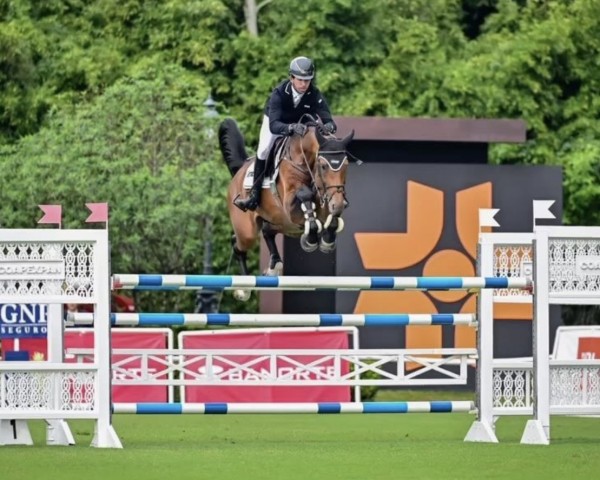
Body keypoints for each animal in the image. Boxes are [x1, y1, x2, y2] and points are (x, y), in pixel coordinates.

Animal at [218, 117, 354, 300]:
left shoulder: (326, 201)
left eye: (346, 165)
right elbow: (305, 197)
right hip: (248, 231)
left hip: (283, 223)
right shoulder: (291, 206)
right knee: (237, 244)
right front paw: (310, 240)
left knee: (267, 230)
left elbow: (331, 219)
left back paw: (274, 265)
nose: (338, 202)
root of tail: (240, 170)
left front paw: (326, 241)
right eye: (324, 166)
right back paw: (244, 289)